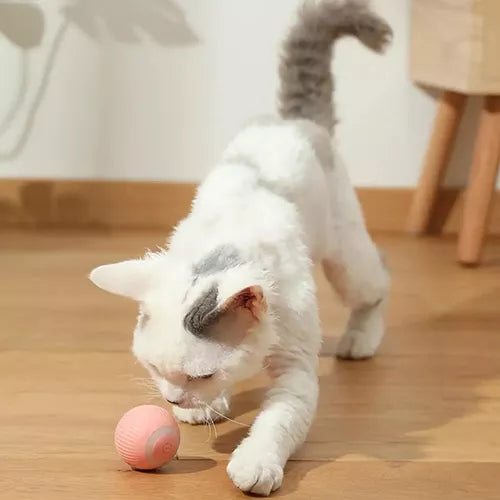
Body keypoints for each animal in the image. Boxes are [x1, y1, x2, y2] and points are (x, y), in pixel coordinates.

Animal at [92, 0, 392, 492]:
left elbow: (278, 421)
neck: (226, 240)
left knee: (378, 278)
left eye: (201, 373)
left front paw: (255, 463)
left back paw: (360, 339)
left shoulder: (296, 368)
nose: (174, 401)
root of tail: (292, 120)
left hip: (346, 257)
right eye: (154, 369)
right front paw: (208, 407)